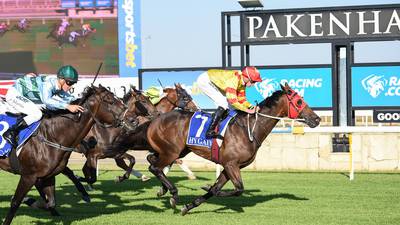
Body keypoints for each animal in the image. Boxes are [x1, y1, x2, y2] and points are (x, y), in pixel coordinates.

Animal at [0, 85, 129, 225]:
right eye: (110, 101)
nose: (131, 119)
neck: (51, 136)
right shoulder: (28, 176)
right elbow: (15, 202)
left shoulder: (48, 176)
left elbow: (50, 203)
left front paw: (30, 201)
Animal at [142, 83, 320, 214]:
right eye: (299, 102)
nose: (317, 119)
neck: (249, 129)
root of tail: (157, 118)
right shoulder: (231, 164)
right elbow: (238, 189)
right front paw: (206, 187)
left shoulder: (231, 166)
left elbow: (216, 188)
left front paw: (189, 206)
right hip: (171, 151)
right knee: (154, 167)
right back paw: (172, 192)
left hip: (178, 150)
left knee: (152, 160)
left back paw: (164, 189)